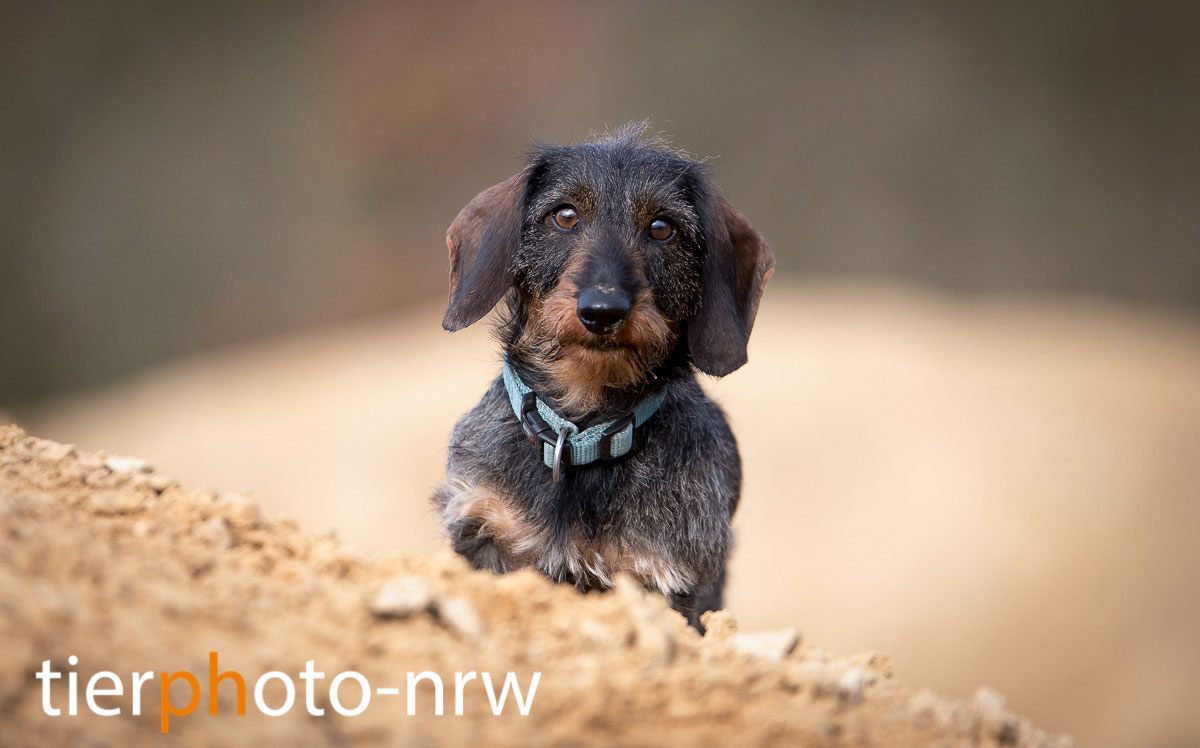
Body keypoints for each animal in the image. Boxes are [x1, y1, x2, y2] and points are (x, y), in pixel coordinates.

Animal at [436, 126, 772, 629]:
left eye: (662, 228)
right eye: (565, 215)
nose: (602, 310)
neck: (578, 436)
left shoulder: (663, 578)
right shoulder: (484, 525)